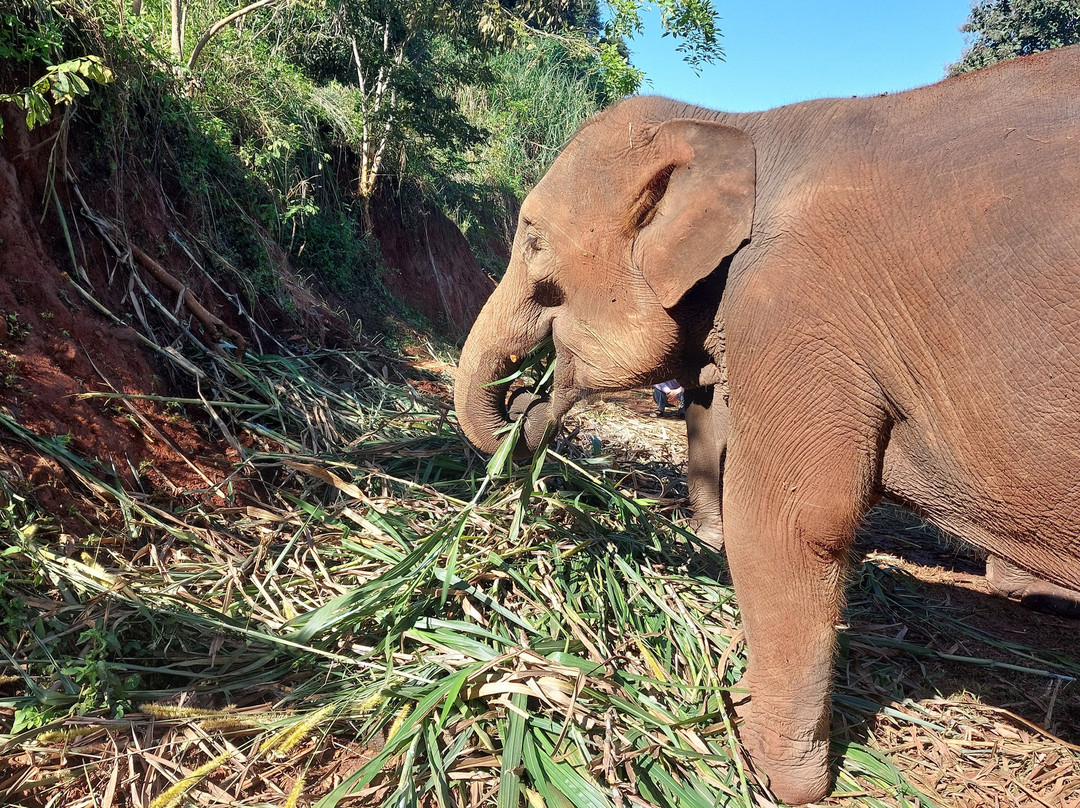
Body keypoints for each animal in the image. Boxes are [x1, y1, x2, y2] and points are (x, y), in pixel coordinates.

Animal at [454, 45, 1080, 805]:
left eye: (533, 240)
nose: (522, 397)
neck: (737, 127)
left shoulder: (796, 309)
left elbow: (789, 521)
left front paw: (767, 767)